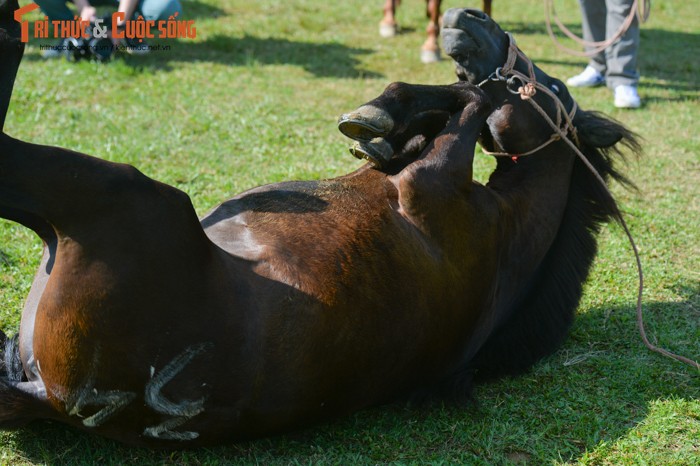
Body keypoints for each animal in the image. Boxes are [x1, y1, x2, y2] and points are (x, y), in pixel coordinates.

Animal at [0, 2, 640, 448]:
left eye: (550, 87)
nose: (474, 18)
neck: (508, 236)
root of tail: (52, 397)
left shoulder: (428, 182)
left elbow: (472, 102)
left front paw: (391, 109)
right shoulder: (406, 170)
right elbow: (443, 108)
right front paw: (383, 120)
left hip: (122, 193)